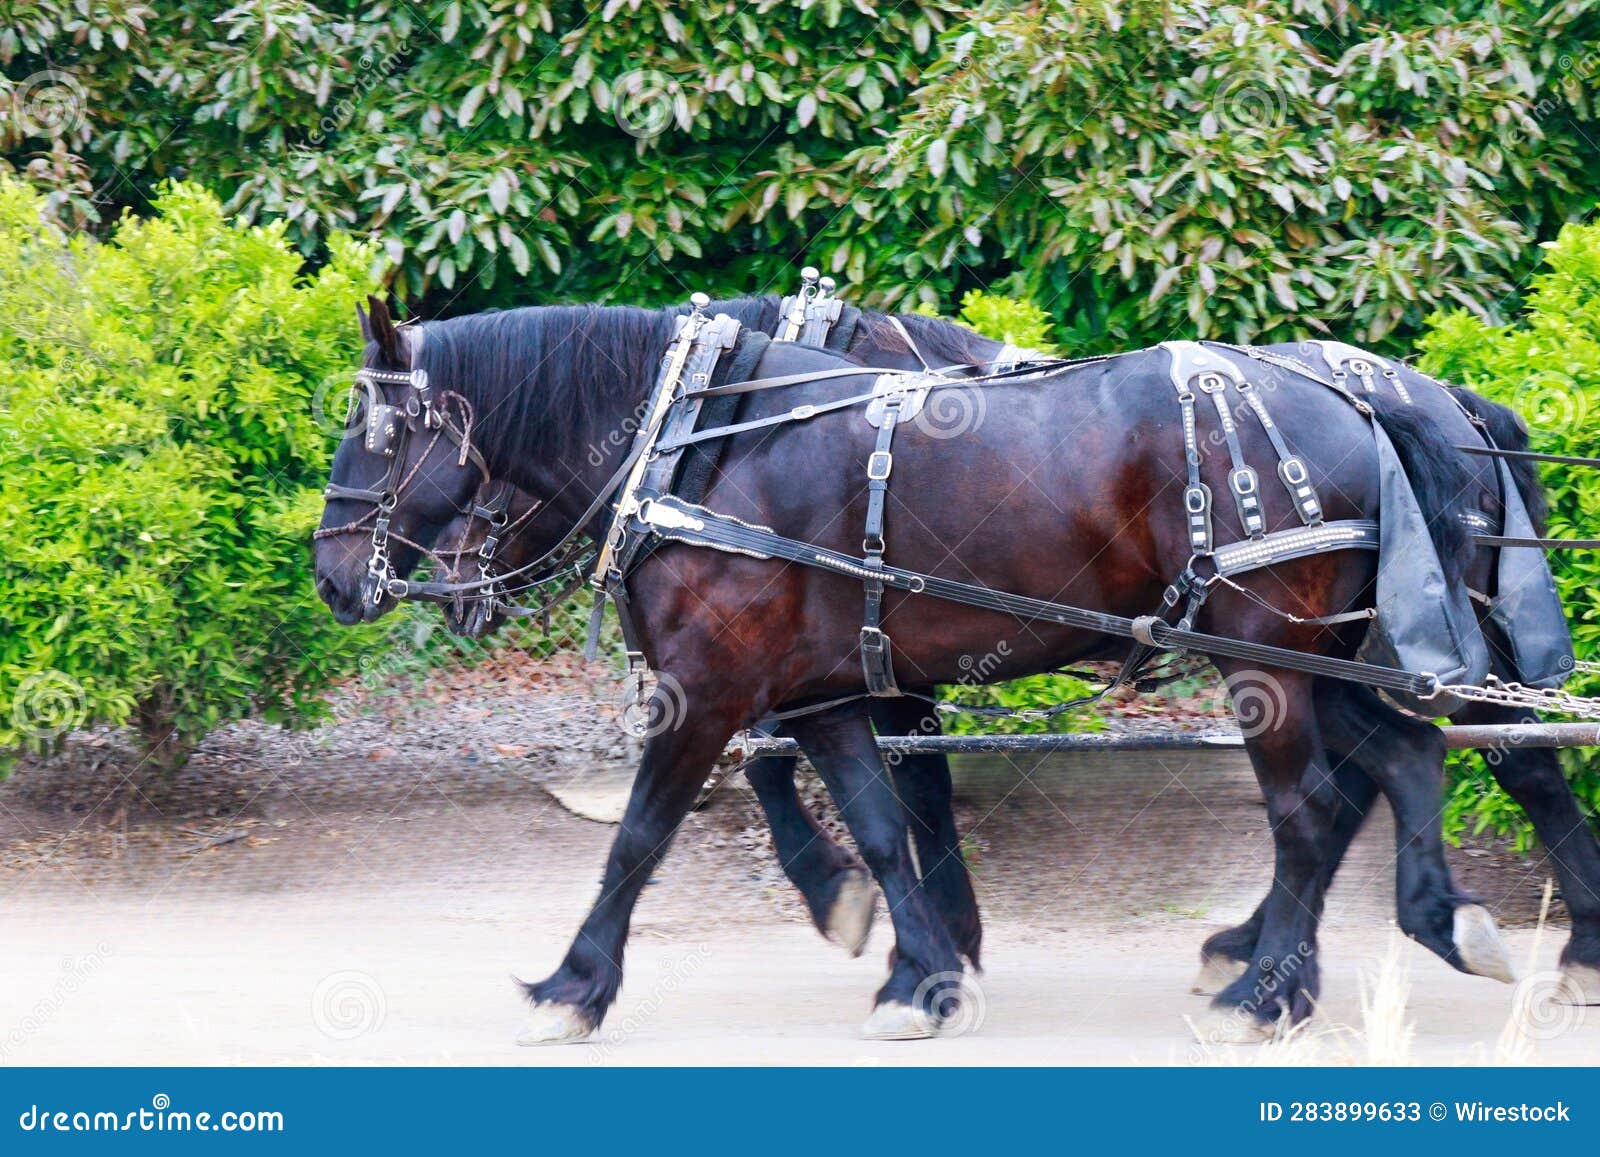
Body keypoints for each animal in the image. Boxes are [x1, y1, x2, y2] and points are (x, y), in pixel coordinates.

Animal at [314, 295, 1531, 1042]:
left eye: (375, 432)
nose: (330, 575)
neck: (704, 442)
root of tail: (1372, 401)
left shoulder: (706, 692)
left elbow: (641, 838)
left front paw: (573, 984)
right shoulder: (834, 692)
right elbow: (885, 822)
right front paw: (922, 972)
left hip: (1267, 656)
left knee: (1314, 808)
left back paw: (1266, 990)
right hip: (1326, 655)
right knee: (1407, 758)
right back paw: (1419, 925)